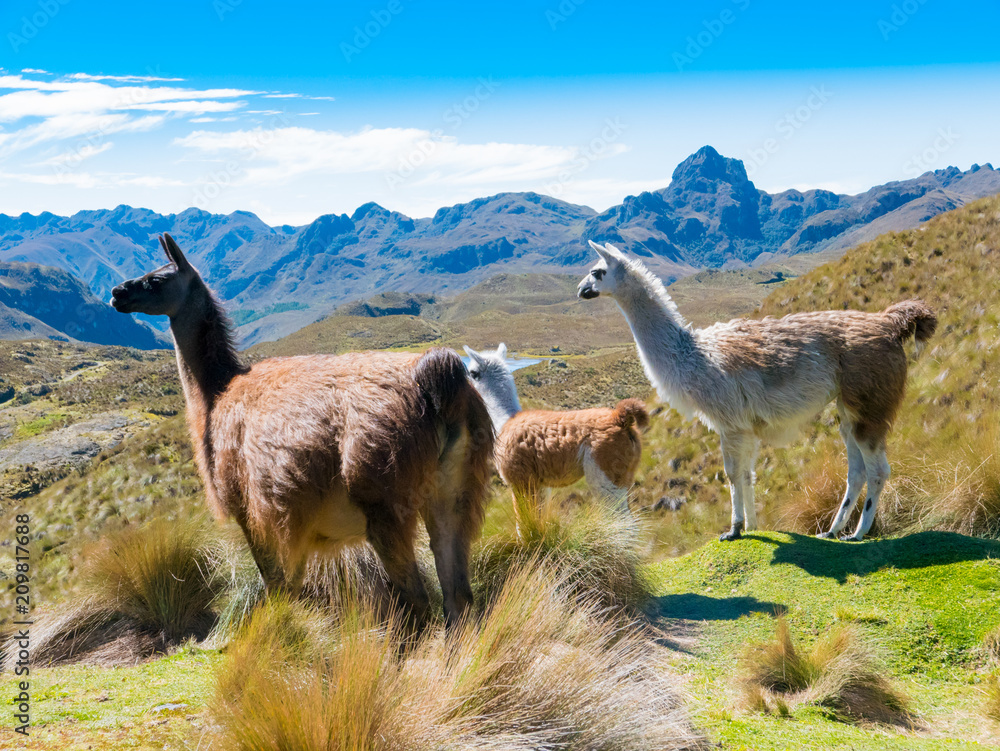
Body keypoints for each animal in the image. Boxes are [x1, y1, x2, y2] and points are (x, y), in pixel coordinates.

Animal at [462, 346, 648, 512]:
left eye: (471, 371)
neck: (505, 420)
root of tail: (620, 418)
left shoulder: (519, 481)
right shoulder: (541, 486)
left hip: (605, 471)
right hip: (625, 475)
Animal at [580, 241, 936, 540]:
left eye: (598, 272)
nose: (582, 290)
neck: (692, 354)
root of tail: (889, 324)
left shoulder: (730, 423)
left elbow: (732, 475)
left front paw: (734, 529)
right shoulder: (747, 426)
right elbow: (749, 475)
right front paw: (752, 526)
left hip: (872, 401)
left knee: (877, 470)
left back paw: (859, 533)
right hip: (848, 407)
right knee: (857, 470)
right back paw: (833, 531)